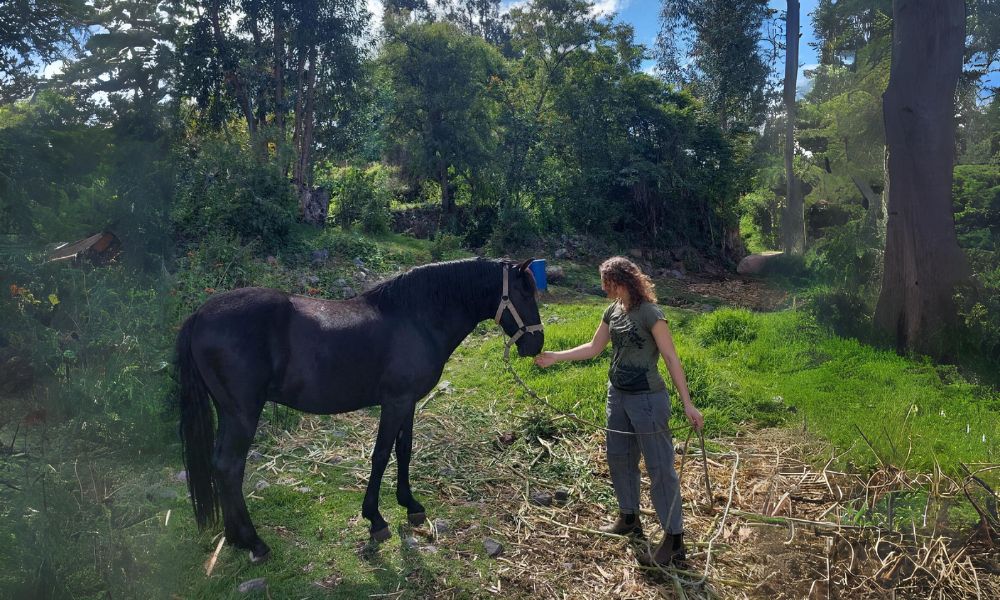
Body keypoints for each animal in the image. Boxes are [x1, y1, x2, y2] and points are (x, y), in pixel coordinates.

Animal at [176, 257, 544, 562]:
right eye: (525, 295)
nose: (536, 344)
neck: (416, 318)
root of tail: (199, 315)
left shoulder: (408, 402)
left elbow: (404, 450)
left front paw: (410, 505)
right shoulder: (395, 402)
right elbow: (381, 455)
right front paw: (375, 519)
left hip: (228, 413)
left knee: (222, 467)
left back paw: (235, 538)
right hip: (243, 414)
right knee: (230, 467)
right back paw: (254, 542)